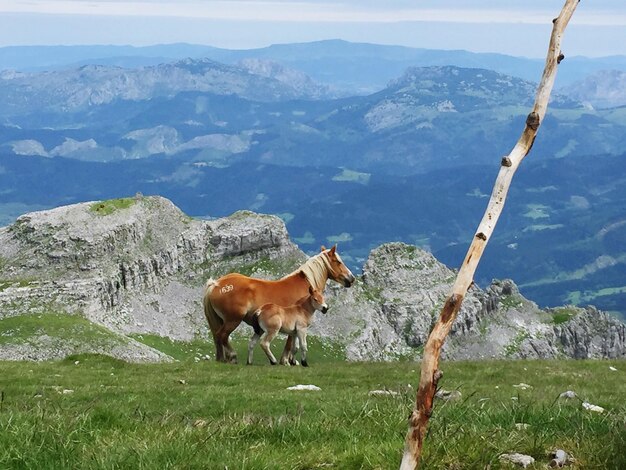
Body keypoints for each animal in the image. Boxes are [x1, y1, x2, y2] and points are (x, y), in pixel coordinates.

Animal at [202, 246, 354, 364]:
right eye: (338, 261)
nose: (351, 278)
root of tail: (216, 284)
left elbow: (294, 344)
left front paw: (292, 361)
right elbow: (291, 344)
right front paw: (286, 361)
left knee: (217, 337)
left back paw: (222, 359)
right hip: (233, 320)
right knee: (222, 336)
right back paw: (233, 357)